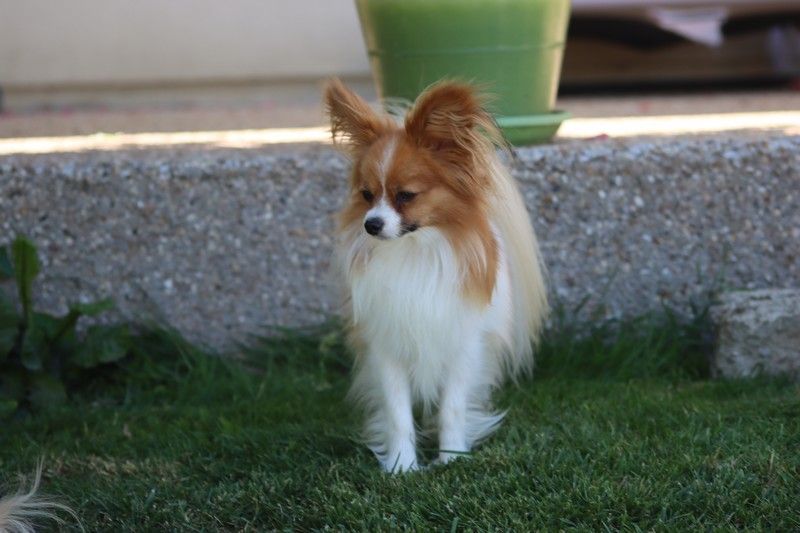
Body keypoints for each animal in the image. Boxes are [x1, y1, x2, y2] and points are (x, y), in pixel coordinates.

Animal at [324, 78, 552, 470]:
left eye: (405, 196)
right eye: (366, 195)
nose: (371, 224)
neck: (415, 250)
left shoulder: (464, 344)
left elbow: (453, 407)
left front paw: (451, 458)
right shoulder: (385, 344)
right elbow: (397, 411)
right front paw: (401, 466)